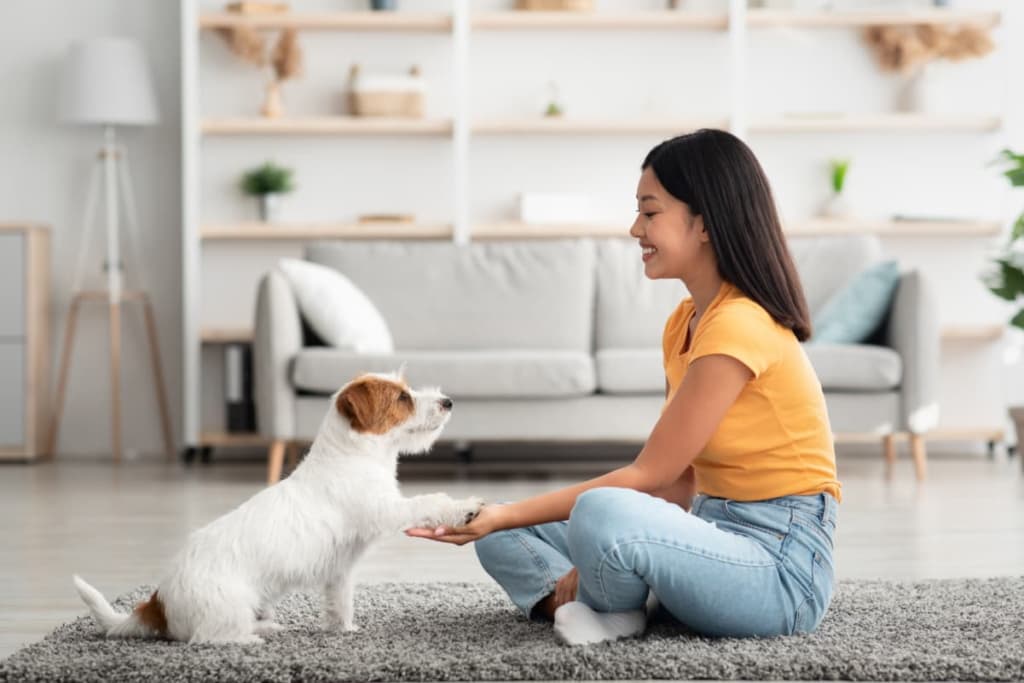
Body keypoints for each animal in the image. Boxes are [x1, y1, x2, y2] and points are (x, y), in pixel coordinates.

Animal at [74, 370, 481, 643]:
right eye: (402, 398)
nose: (448, 401)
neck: (353, 455)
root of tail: (158, 602)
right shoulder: (385, 509)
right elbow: (428, 500)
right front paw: (465, 507)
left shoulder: (340, 570)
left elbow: (340, 601)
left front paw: (344, 629)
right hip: (229, 605)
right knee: (210, 638)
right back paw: (251, 639)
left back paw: (266, 625)